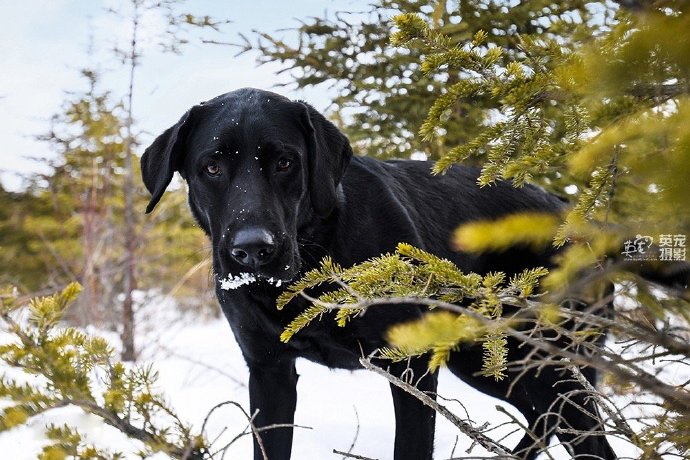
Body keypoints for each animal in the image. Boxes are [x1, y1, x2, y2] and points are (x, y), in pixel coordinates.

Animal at [140, 88, 612, 458]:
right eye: (212, 166)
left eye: (285, 163)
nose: (253, 250)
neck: (315, 259)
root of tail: (577, 217)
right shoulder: (269, 371)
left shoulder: (412, 367)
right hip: (491, 361)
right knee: (541, 417)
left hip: (553, 364)